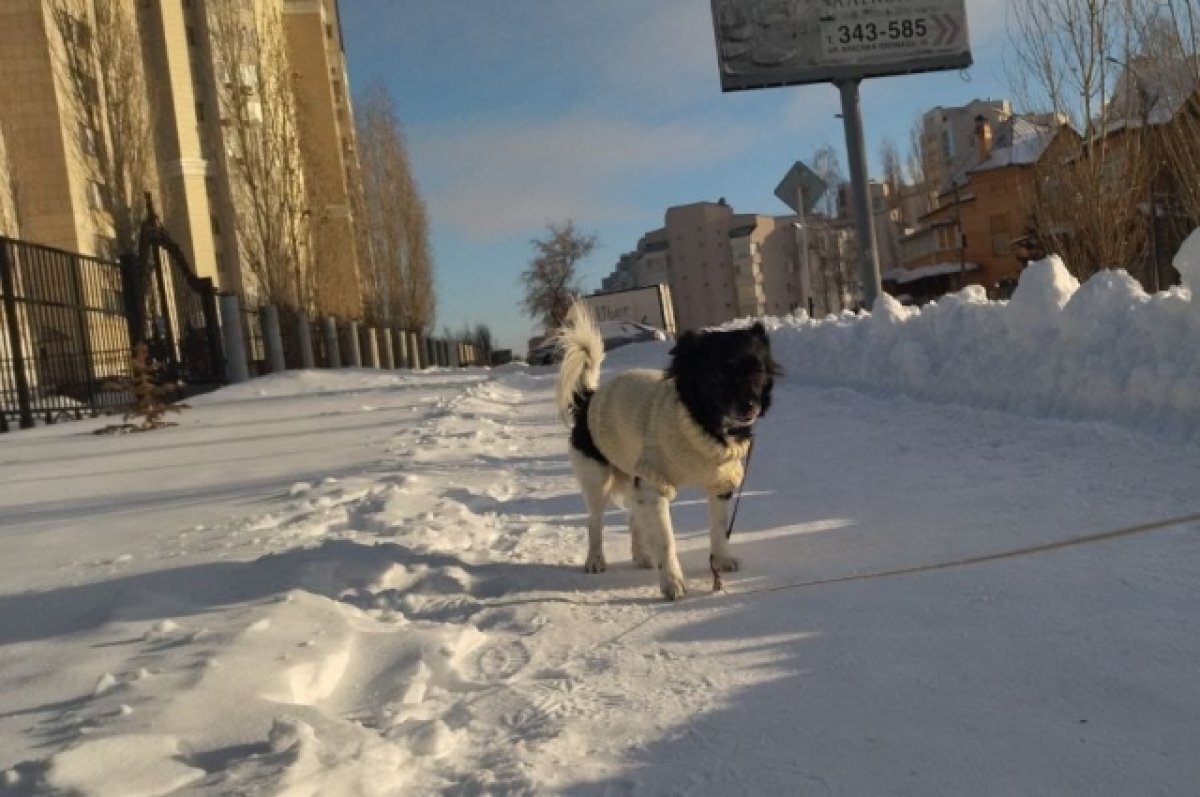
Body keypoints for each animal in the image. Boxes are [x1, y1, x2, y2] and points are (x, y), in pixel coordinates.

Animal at [552, 302, 777, 600]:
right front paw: (672, 582)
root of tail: (589, 397)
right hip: (598, 480)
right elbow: (666, 539)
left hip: (630, 472)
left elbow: (718, 527)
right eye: (719, 374)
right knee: (595, 521)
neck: (700, 421)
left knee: (633, 517)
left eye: (758, 372)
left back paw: (641, 556)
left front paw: (720, 560)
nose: (750, 405)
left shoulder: (720, 483)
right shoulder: (653, 483)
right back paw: (595, 560)